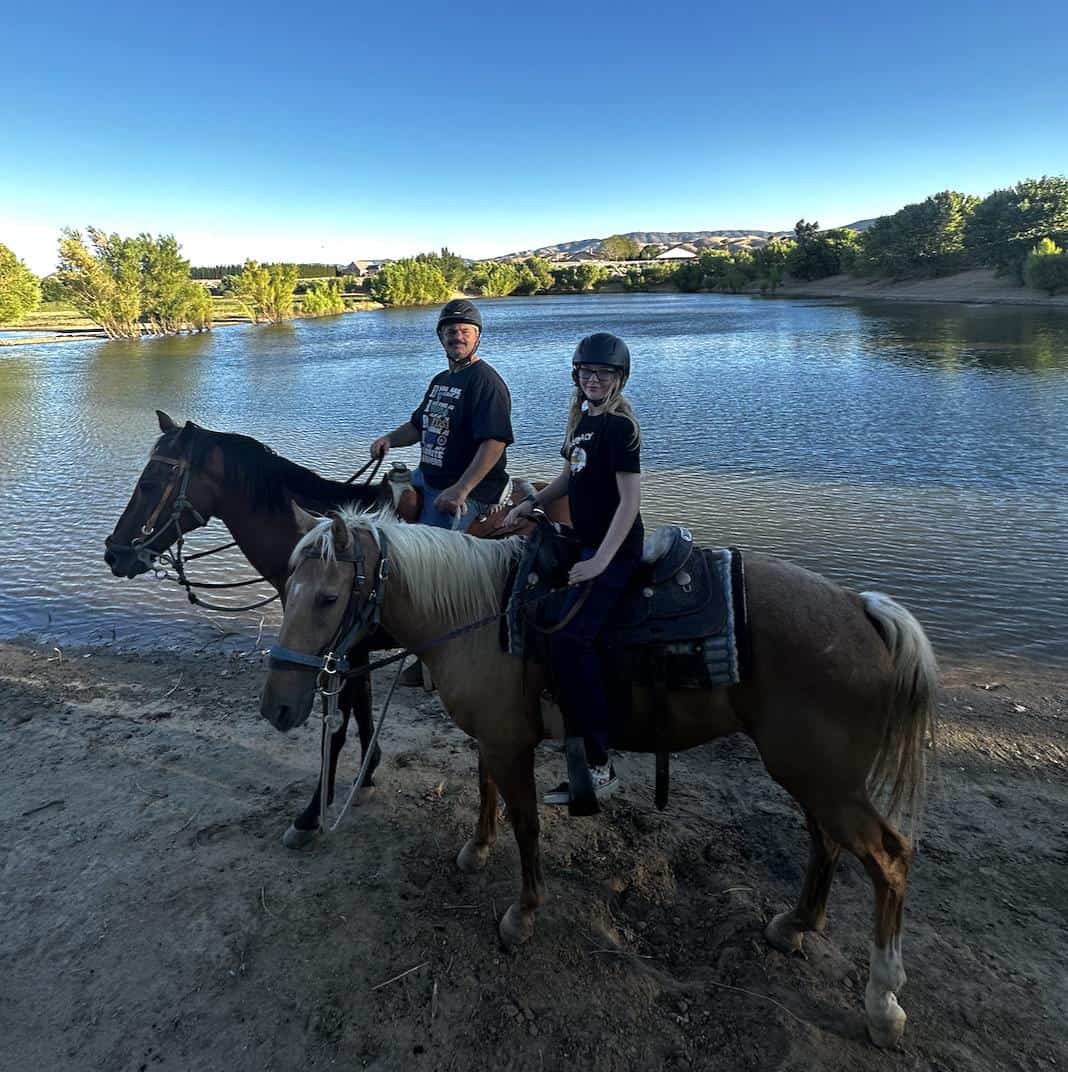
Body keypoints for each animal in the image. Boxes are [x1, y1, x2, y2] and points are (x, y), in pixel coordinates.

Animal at [262, 508, 939, 1046]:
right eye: (285, 591)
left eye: (327, 599)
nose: (277, 709)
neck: (484, 615)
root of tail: (862, 610)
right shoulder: (493, 737)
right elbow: (485, 791)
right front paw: (476, 850)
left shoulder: (510, 744)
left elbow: (527, 825)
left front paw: (523, 914)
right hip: (811, 773)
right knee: (826, 842)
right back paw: (796, 925)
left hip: (823, 776)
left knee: (889, 858)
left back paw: (883, 1004)